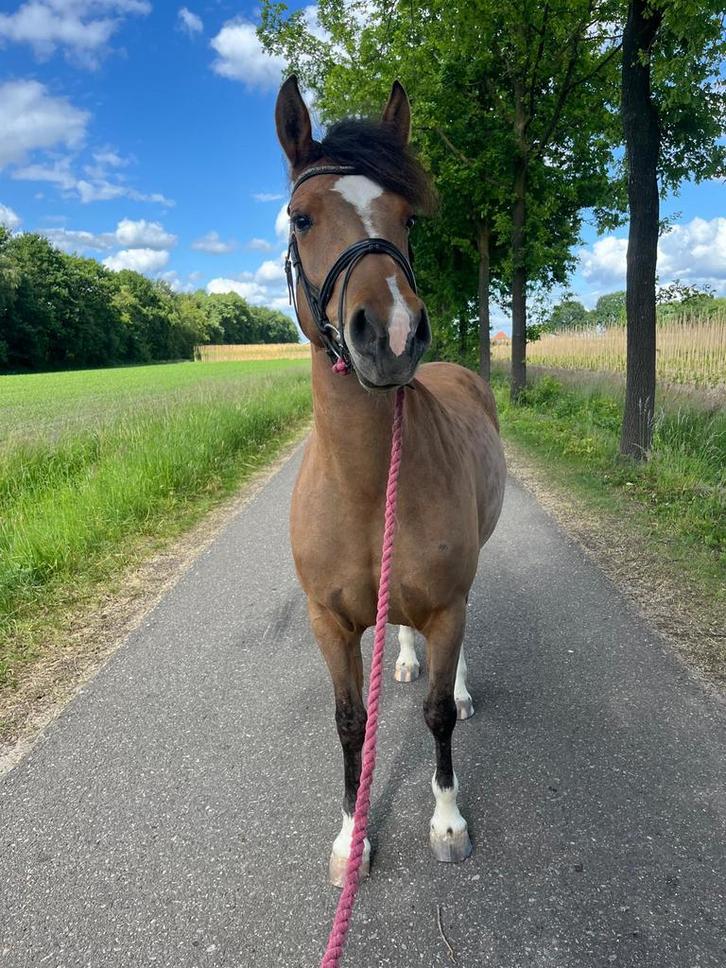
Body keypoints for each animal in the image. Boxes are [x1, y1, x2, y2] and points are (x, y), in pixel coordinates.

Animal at [276, 76, 506, 886]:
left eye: (408, 217)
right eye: (301, 216)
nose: (394, 334)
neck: (368, 485)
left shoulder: (446, 601)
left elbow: (436, 717)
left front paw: (447, 822)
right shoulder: (329, 622)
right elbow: (351, 723)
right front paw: (352, 837)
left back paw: (458, 683)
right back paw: (405, 660)